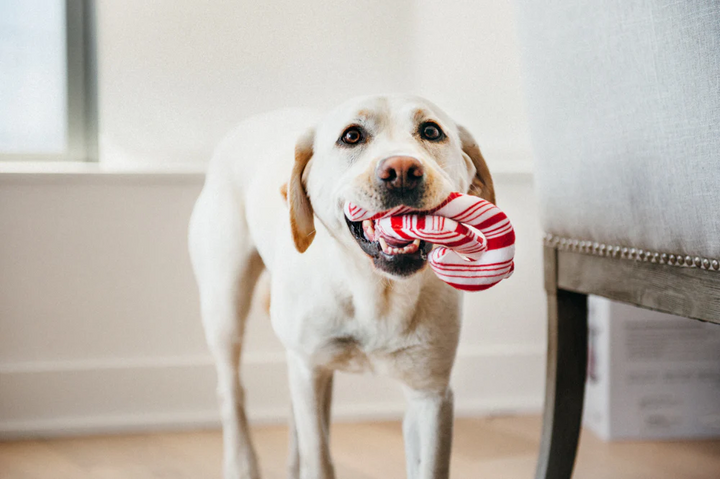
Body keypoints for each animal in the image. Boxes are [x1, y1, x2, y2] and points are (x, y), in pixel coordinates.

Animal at [187, 94, 496, 479]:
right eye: (352, 136)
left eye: (431, 131)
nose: (402, 171)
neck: (375, 292)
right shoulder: (308, 370)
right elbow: (319, 459)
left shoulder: (431, 395)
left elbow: (429, 466)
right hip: (225, 310)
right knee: (231, 393)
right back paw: (241, 464)